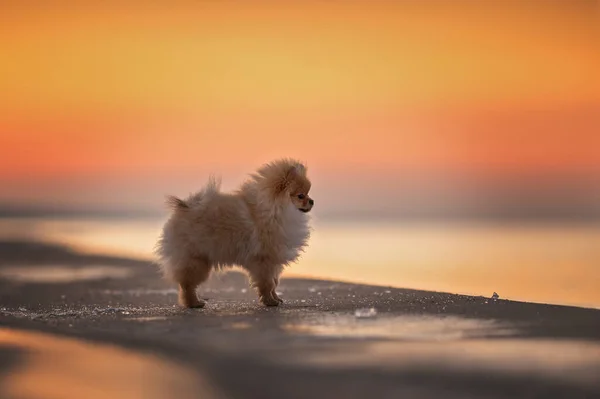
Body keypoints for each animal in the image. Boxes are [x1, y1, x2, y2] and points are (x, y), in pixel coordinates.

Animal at [155, 159, 314, 310]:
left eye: (308, 193)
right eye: (301, 196)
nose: (312, 201)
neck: (276, 211)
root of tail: (185, 207)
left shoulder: (274, 261)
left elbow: (274, 282)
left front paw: (276, 298)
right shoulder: (263, 261)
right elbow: (267, 283)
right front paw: (269, 301)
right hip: (196, 260)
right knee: (187, 285)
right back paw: (194, 303)